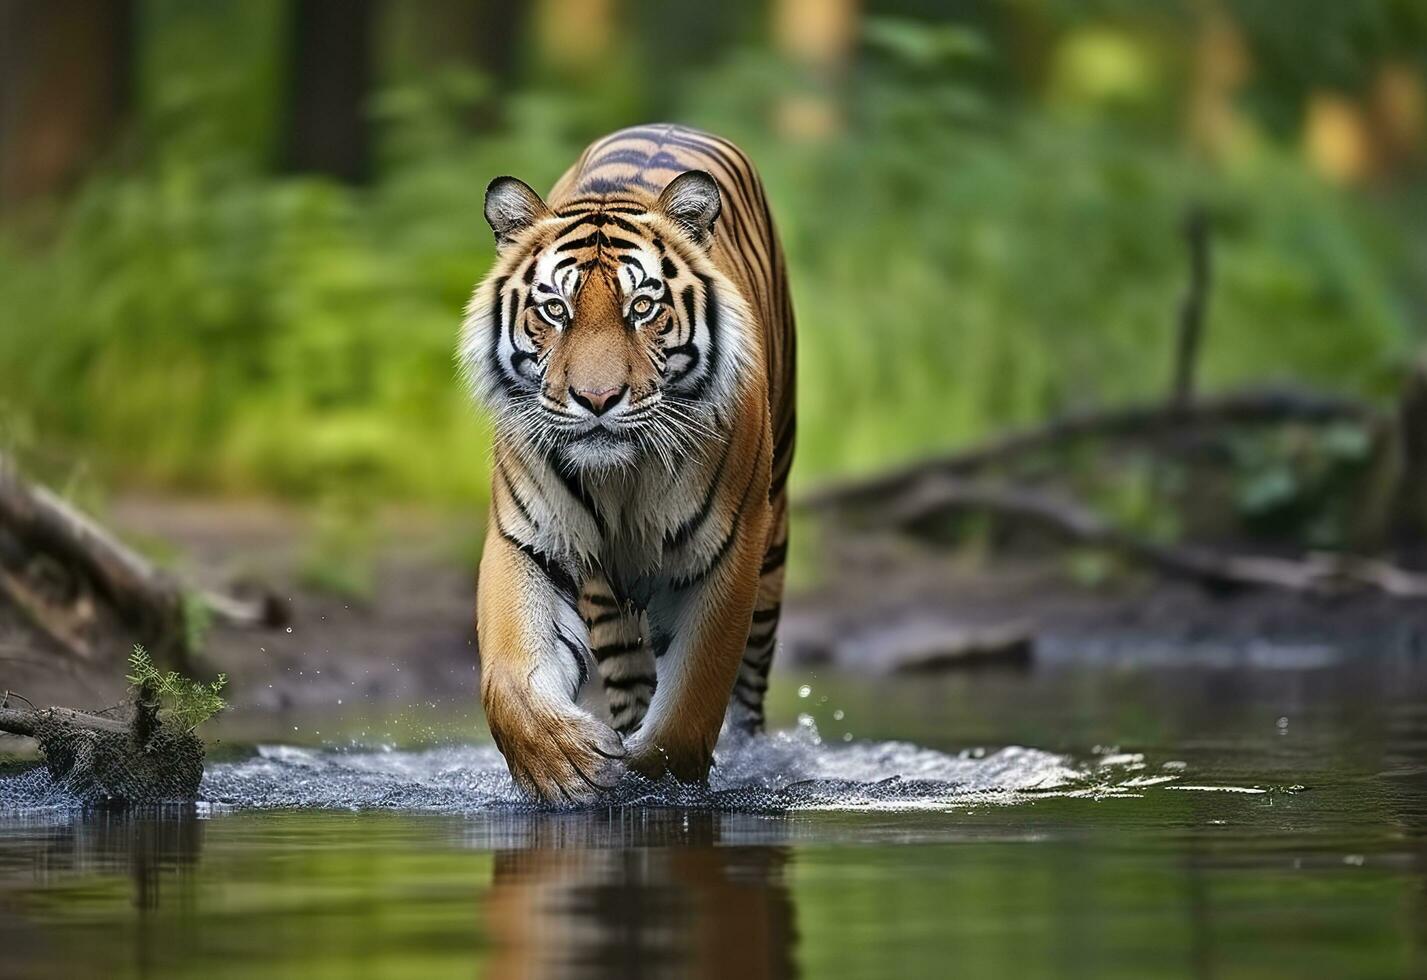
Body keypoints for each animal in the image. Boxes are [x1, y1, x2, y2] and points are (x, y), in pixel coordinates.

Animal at [456, 122, 793, 798]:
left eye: (642, 307)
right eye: (554, 309)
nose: (597, 398)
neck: (623, 480)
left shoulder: (730, 553)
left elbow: (692, 702)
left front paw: (655, 777)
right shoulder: (525, 539)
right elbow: (508, 678)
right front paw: (566, 764)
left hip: (773, 542)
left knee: (748, 697)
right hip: (607, 601)